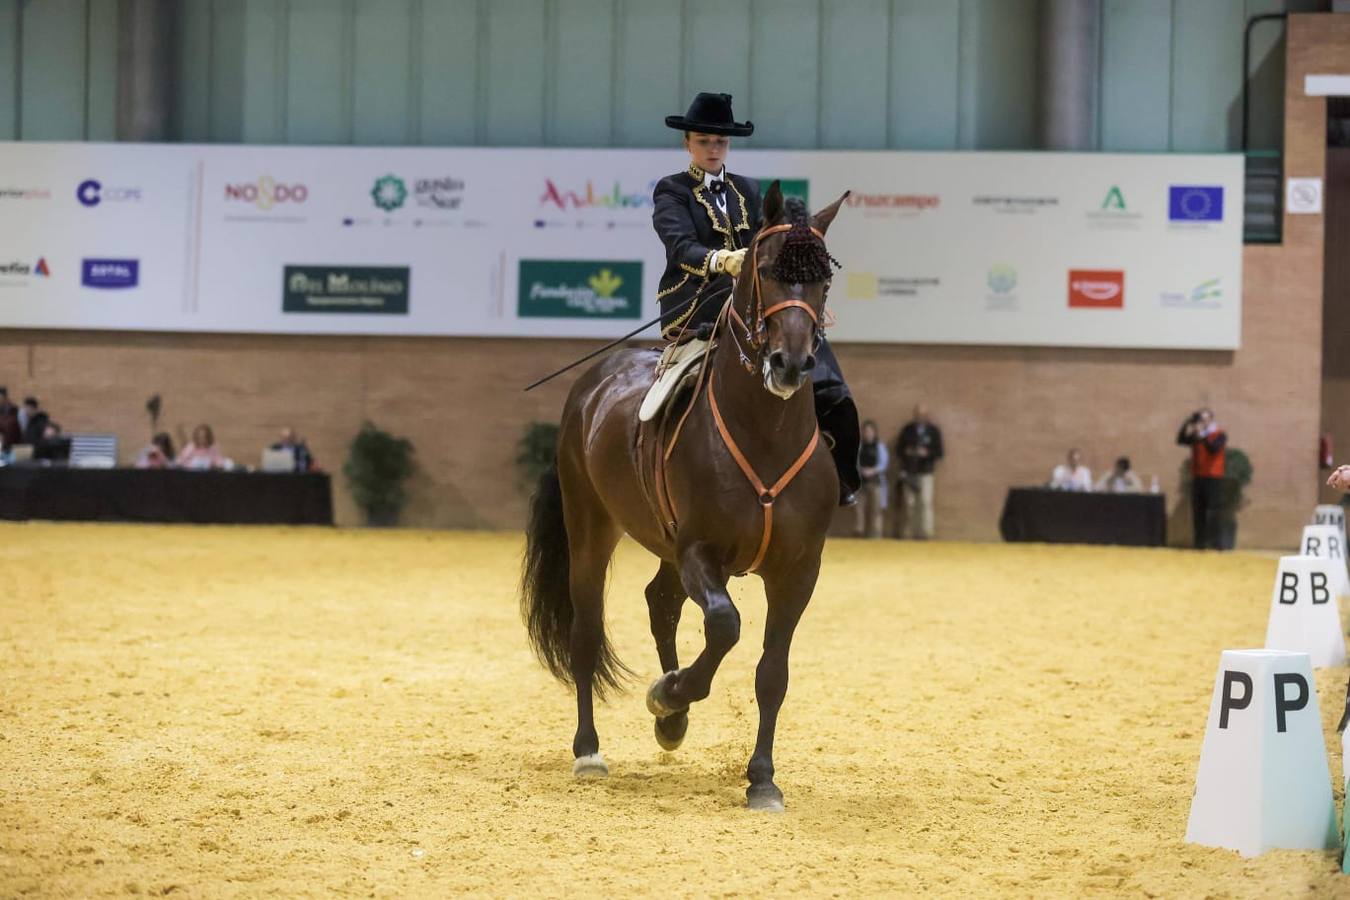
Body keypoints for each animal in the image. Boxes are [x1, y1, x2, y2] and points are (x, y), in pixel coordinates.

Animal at [521, 181, 849, 811]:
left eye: (823, 279)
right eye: (764, 270)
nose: (791, 364)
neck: (765, 432)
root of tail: (591, 386)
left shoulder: (799, 569)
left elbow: (772, 672)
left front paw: (761, 779)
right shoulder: (702, 551)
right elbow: (724, 625)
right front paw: (668, 694)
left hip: (665, 545)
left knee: (661, 603)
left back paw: (671, 726)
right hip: (592, 528)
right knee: (586, 631)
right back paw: (590, 751)